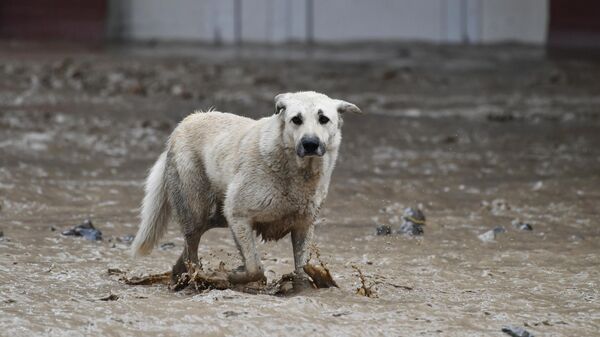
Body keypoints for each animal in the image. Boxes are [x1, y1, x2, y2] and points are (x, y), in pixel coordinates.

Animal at [131, 91, 360, 284]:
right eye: (296, 119)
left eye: (323, 119)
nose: (310, 143)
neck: (295, 172)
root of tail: (185, 122)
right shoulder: (239, 215)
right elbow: (255, 267)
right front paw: (235, 276)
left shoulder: (303, 225)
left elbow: (302, 267)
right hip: (196, 210)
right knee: (192, 246)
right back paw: (196, 276)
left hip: (218, 215)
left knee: (189, 248)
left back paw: (180, 273)